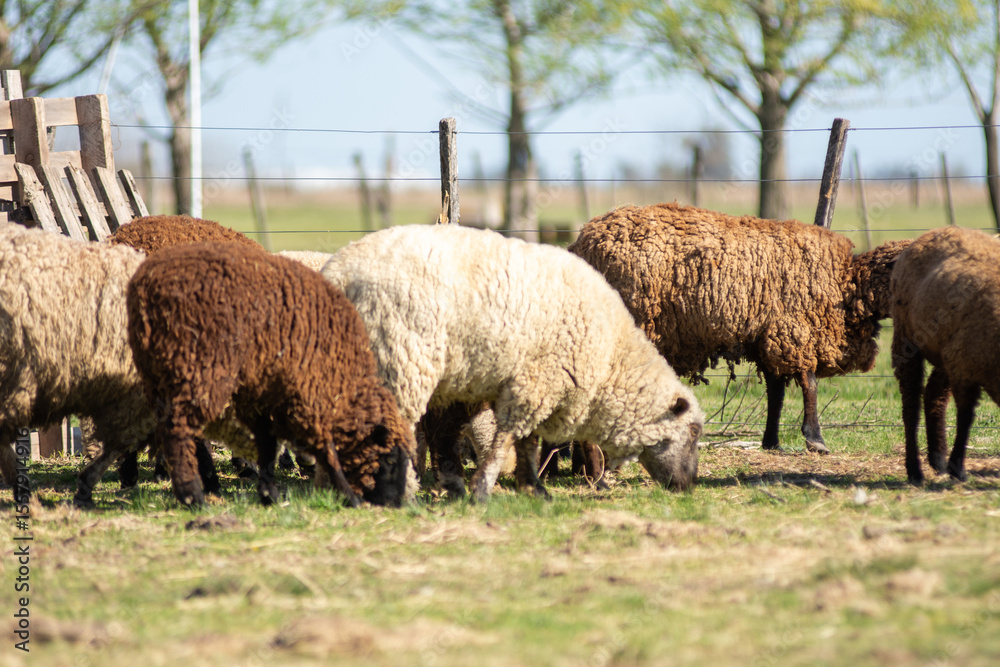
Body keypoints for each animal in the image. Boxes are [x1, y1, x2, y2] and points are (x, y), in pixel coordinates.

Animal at [126, 241, 418, 508]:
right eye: (390, 458)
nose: (396, 504)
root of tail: (147, 287)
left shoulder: (264, 395)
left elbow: (267, 445)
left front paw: (269, 494)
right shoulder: (307, 393)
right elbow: (325, 449)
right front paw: (349, 496)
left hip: (157, 374)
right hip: (200, 368)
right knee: (178, 430)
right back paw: (193, 496)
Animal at [320, 224, 703, 501]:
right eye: (695, 432)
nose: (688, 487)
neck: (612, 359)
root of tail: (338, 273)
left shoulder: (510, 385)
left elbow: (523, 443)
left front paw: (530, 487)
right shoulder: (537, 383)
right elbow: (508, 439)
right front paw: (483, 490)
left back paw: (330, 486)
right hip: (400, 361)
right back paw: (402, 492)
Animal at [569, 202, 910, 454]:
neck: (847, 284)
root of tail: (583, 240)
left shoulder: (770, 337)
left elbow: (776, 392)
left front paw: (771, 442)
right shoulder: (793, 332)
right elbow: (809, 384)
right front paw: (815, 439)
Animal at [890, 226, 1000, 485]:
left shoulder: (959, 362)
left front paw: (951, 465)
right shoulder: (964, 368)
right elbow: (966, 418)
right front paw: (958, 468)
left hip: (945, 352)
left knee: (933, 395)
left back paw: (937, 459)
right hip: (907, 338)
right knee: (911, 405)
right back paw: (915, 470)